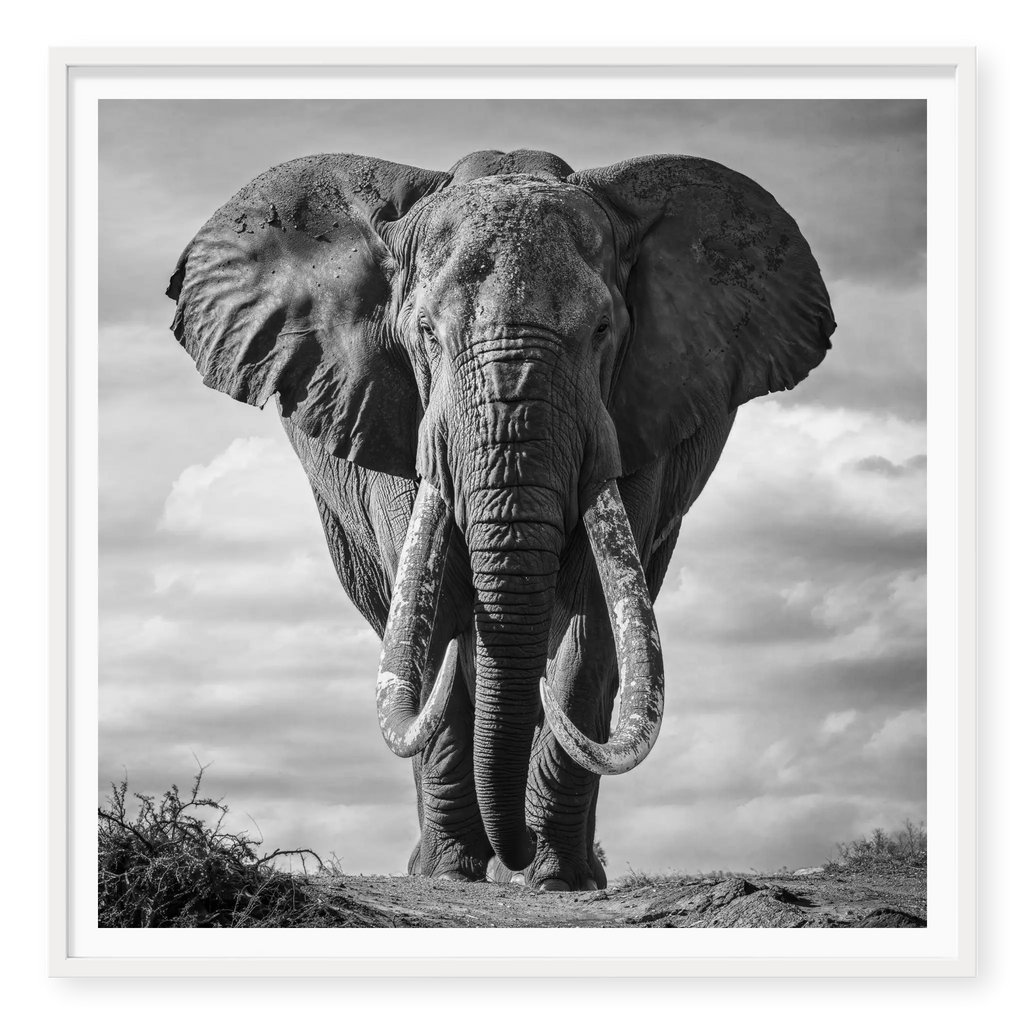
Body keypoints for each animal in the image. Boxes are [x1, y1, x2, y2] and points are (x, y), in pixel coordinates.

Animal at [166, 148, 835, 892]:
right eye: (425, 333)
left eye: (602, 331)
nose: (510, 852)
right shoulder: (387, 412)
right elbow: (433, 619)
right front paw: (451, 874)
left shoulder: (641, 416)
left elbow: (591, 622)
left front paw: (559, 880)